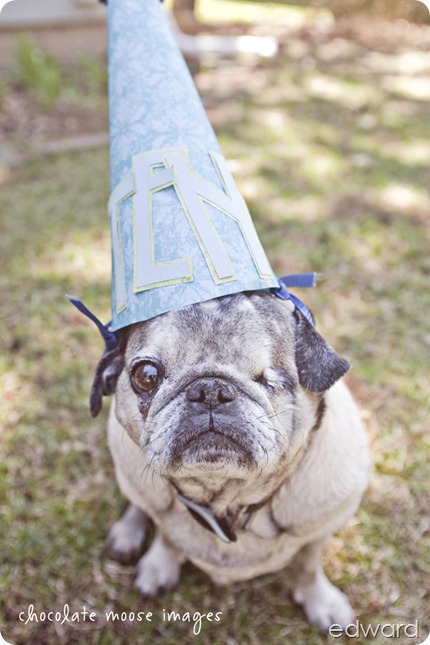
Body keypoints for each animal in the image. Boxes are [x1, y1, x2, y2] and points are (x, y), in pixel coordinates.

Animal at [91, 290, 370, 628]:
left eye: (270, 379)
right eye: (146, 376)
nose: (209, 389)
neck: (226, 502)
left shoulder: (319, 532)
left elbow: (307, 565)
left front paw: (320, 600)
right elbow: (168, 537)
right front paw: (161, 565)